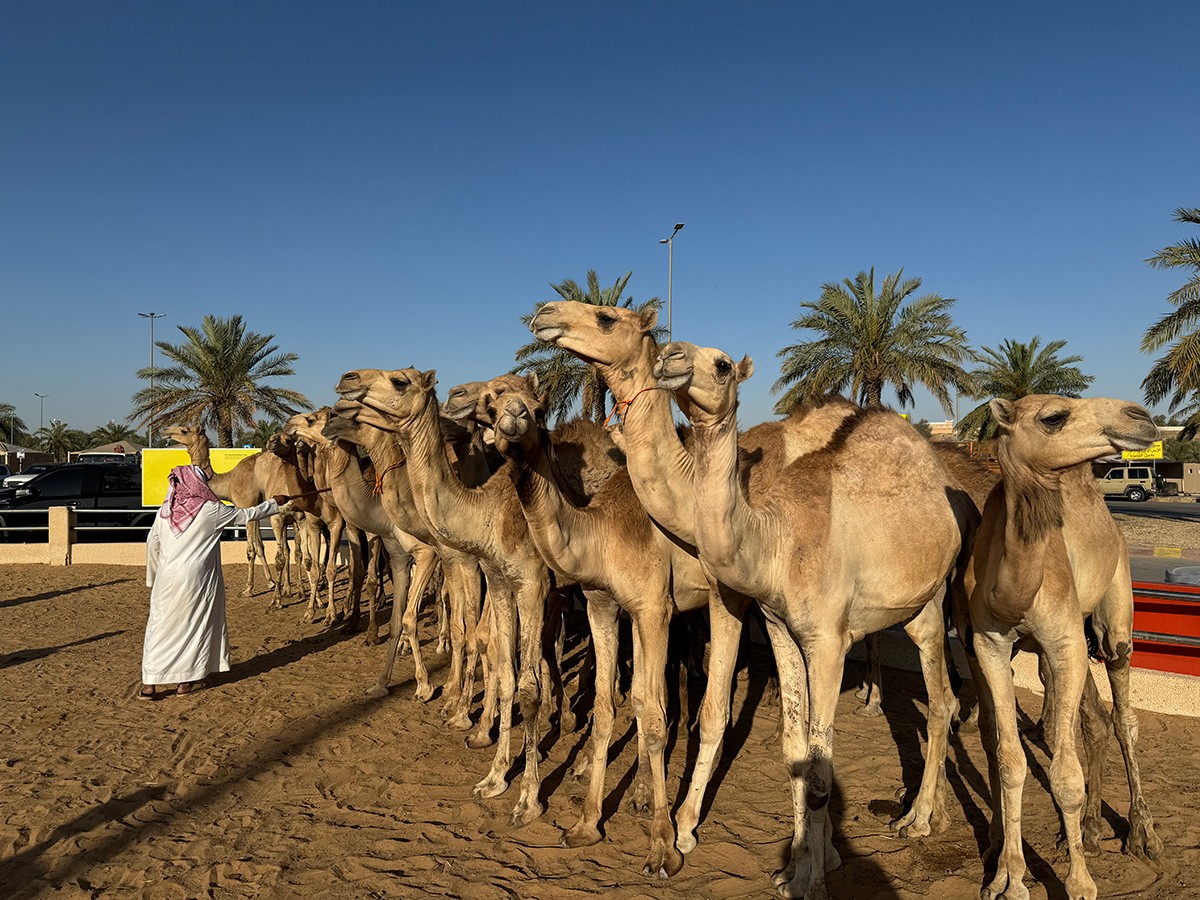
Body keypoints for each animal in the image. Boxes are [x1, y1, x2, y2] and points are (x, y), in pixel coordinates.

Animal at [336, 367, 554, 830]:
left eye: (400, 381)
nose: (347, 382)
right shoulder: (495, 575)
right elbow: (497, 658)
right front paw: (493, 770)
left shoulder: (530, 581)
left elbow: (521, 678)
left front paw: (528, 799)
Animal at [530, 300, 940, 864]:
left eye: (606, 316)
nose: (545, 313)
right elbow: (636, 696)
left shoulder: (726, 599)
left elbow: (710, 710)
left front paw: (677, 829)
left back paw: (919, 812)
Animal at [652, 340, 960, 900]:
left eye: (722, 364)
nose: (670, 354)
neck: (777, 542)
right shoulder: (780, 629)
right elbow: (796, 756)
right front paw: (790, 871)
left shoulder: (829, 641)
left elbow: (819, 777)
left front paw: (815, 883)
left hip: (930, 601)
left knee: (943, 700)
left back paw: (919, 820)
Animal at [955, 398, 1161, 900]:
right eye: (1053, 417)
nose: (1141, 416)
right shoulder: (990, 646)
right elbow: (1010, 760)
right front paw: (1008, 879)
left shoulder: (1064, 641)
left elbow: (1065, 775)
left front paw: (1080, 882)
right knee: (1094, 720)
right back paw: (1088, 829)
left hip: (1114, 610)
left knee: (1123, 714)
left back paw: (1141, 834)